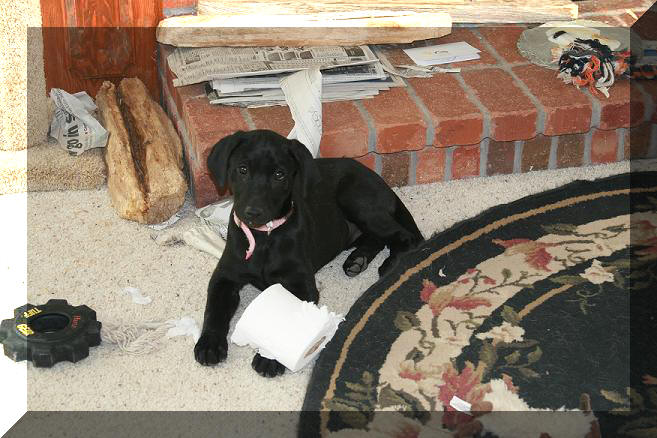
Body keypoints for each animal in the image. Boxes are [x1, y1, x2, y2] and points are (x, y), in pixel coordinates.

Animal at [195, 129, 422, 376]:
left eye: (279, 175)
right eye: (242, 169)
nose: (253, 213)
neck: (264, 237)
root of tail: (380, 180)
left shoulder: (301, 284)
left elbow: (288, 321)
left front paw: (270, 358)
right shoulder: (224, 277)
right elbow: (214, 311)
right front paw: (209, 343)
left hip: (356, 200)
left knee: (404, 237)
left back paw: (391, 264)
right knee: (376, 239)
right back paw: (357, 260)